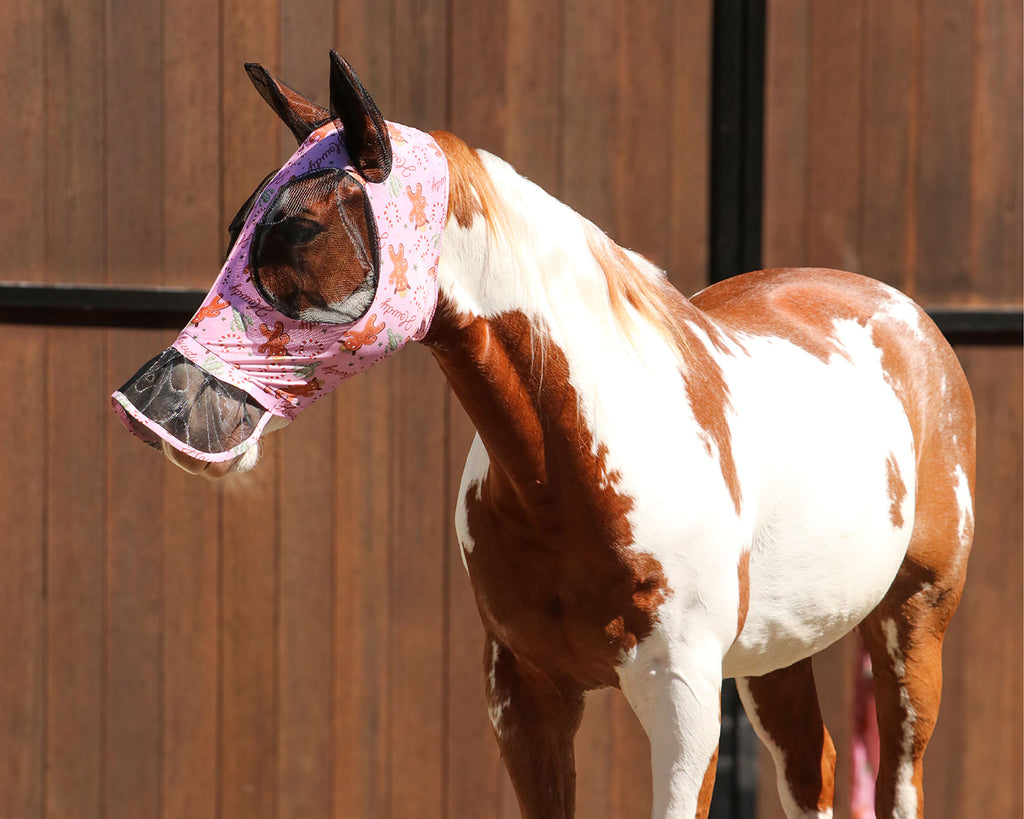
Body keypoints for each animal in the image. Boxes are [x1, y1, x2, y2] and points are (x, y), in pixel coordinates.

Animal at [112, 52, 974, 818]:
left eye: (297, 228)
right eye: (238, 224)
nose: (155, 407)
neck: (569, 471)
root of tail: (901, 312)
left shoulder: (683, 699)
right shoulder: (526, 696)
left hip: (913, 631)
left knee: (897, 781)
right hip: (776, 649)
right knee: (812, 769)